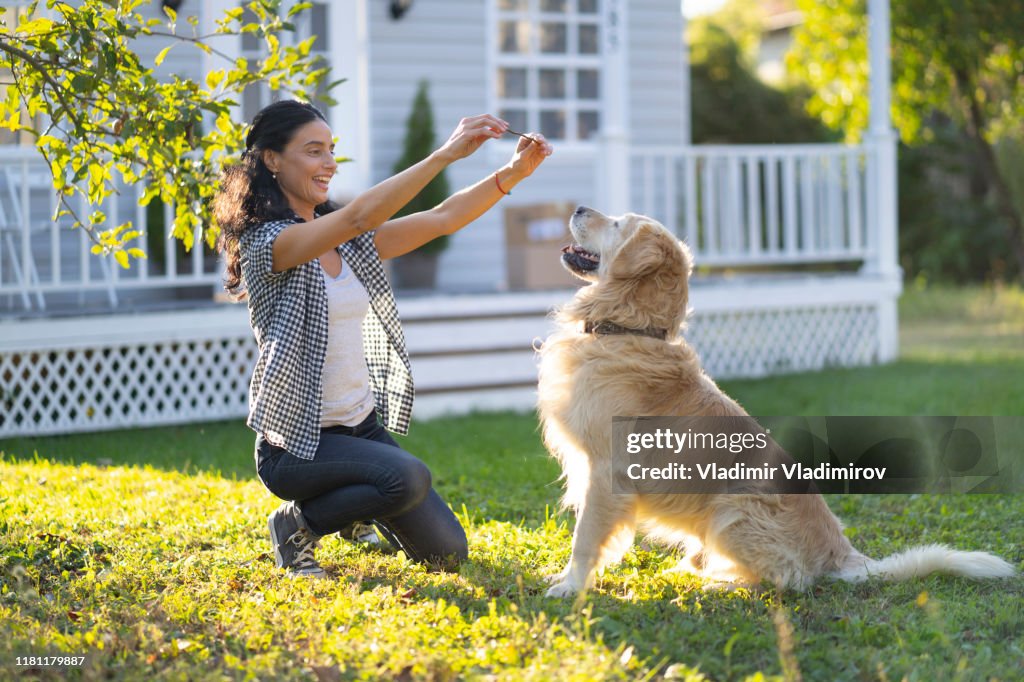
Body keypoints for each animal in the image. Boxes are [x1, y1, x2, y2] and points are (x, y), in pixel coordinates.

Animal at [540, 202, 1011, 593]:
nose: (578, 207)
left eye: (617, 224)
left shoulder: (605, 471)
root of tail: (842, 553)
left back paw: (717, 584)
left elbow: (585, 538)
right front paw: (564, 579)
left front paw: (570, 587)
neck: (628, 329)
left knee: (787, 579)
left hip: (731, 511)